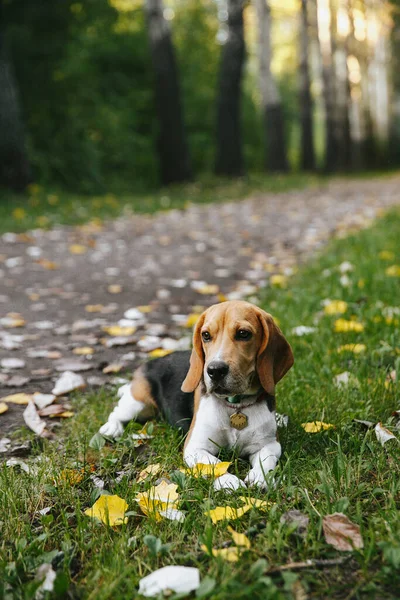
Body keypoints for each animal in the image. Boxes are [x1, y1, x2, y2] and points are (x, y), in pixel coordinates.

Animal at [100, 302, 294, 490]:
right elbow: (213, 463)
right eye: (206, 335)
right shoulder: (194, 447)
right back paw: (111, 428)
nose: (215, 370)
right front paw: (228, 480)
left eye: (243, 334)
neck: (235, 406)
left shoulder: (270, 444)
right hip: (138, 404)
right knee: (117, 412)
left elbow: (266, 460)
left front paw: (261, 478)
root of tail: (152, 361)